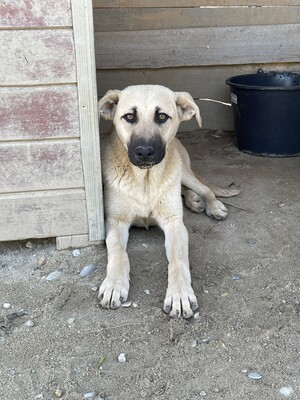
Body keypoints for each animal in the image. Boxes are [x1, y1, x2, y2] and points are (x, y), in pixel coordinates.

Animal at [98, 84, 239, 318]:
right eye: (129, 117)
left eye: (162, 116)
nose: (144, 152)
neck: (145, 181)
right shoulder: (115, 223)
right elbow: (118, 253)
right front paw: (114, 284)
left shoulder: (175, 224)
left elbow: (178, 260)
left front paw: (180, 294)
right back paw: (193, 200)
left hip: (183, 171)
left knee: (204, 188)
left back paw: (210, 204)